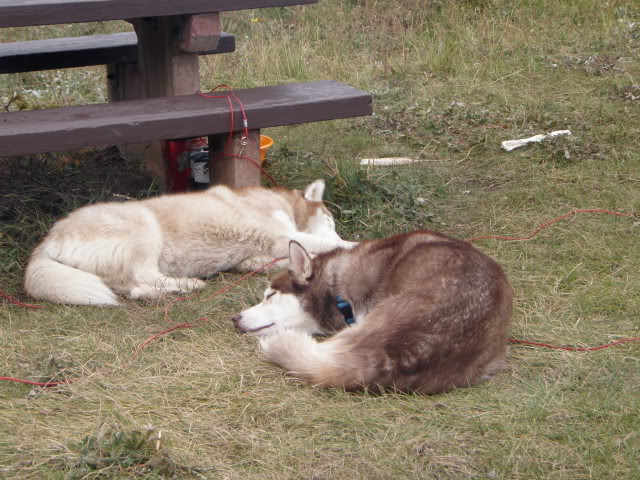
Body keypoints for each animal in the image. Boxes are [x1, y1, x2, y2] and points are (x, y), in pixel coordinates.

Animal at [25, 178, 350, 306]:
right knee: (143, 276)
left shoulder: (259, 258)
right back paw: (189, 284)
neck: (287, 207)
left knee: (136, 288)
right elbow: (320, 243)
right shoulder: (282, 235)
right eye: (331, 222)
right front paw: (349, 246)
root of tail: (47, 241)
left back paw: (179, 289)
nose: (335, 229)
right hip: (145, 228)